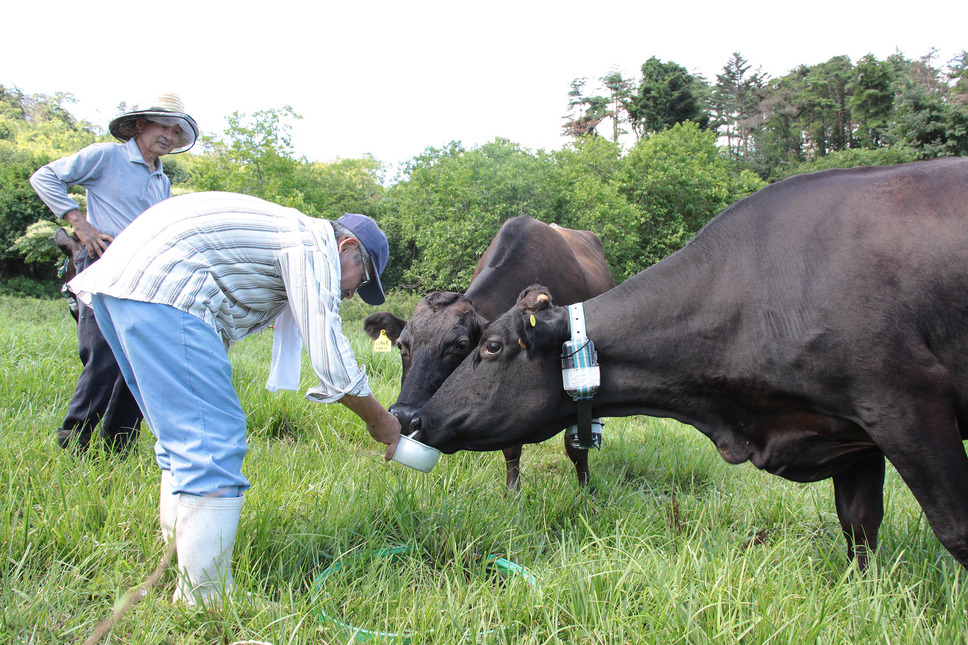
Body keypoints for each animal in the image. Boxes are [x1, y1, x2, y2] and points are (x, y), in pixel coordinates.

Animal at [412, 160, 968, 568]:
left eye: (489, 347)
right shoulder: (850, 431)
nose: (415, 419)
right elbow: (858, 526)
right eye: (402, 346)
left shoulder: (904, 404)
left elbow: (955, 529)